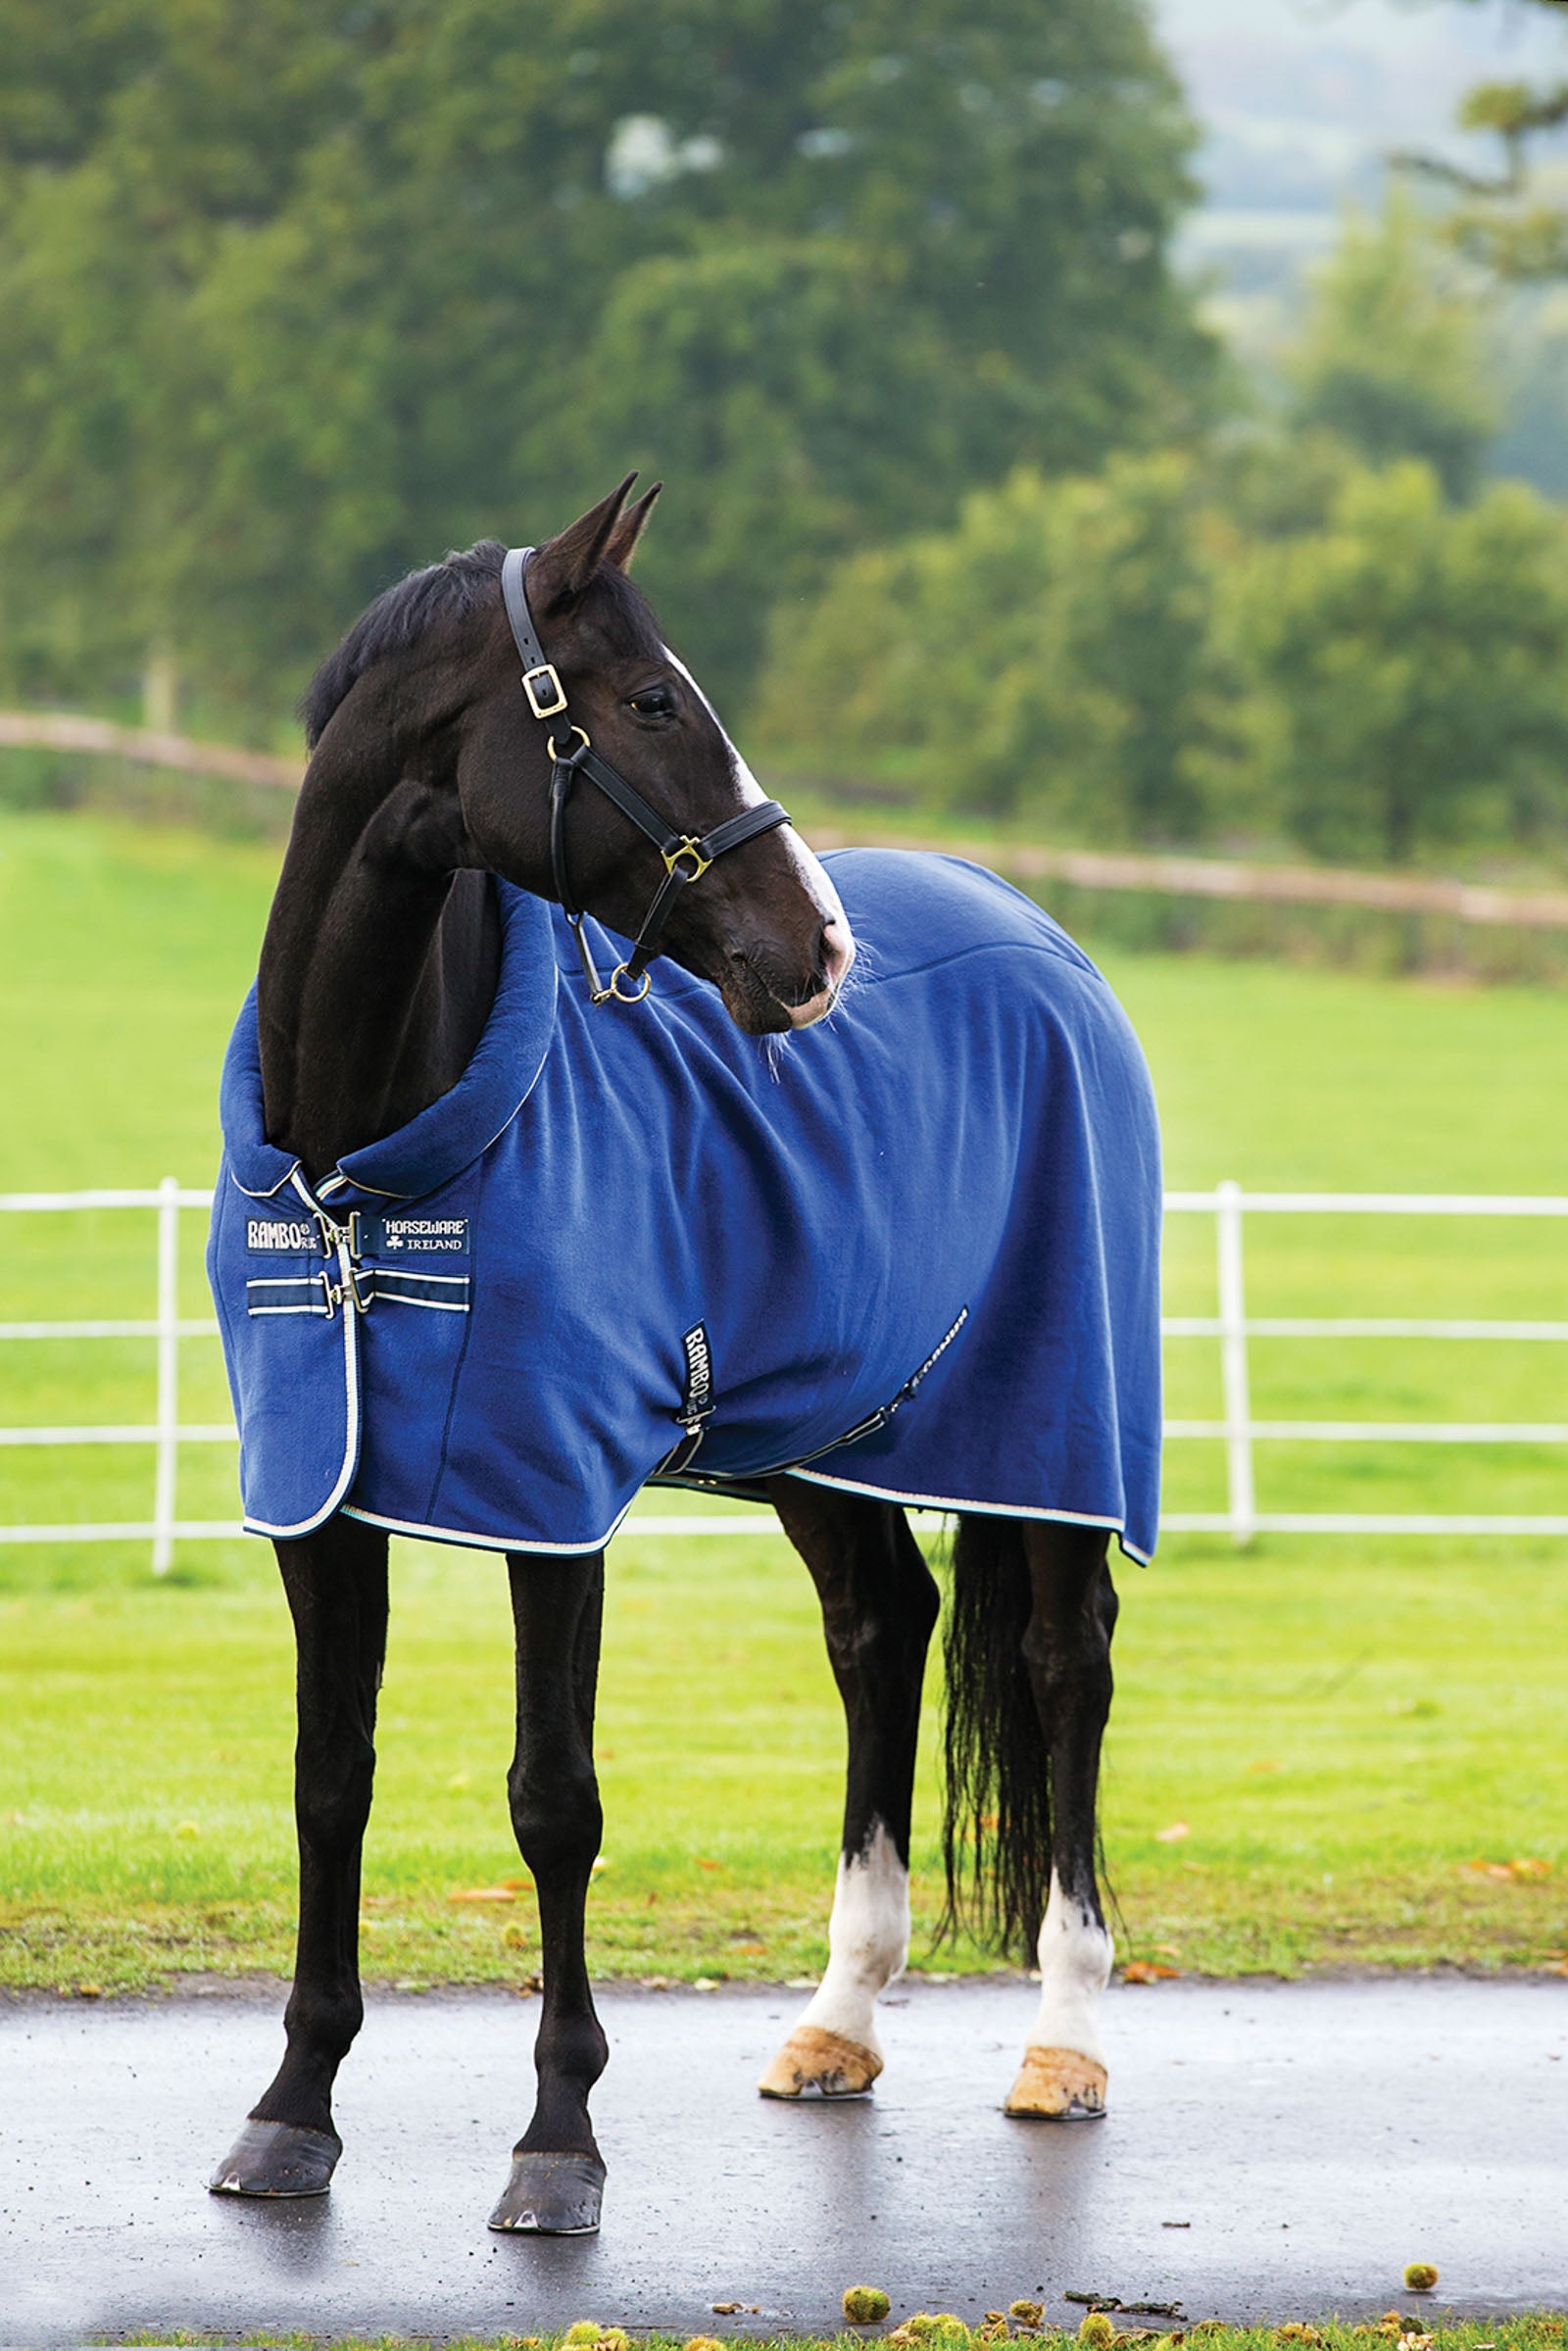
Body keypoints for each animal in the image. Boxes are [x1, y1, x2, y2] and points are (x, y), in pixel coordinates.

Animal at [204, 476, 1161, 2237]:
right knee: (881, 1629)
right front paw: (292, 2112)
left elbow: (554, 1797)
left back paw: (1065, 2037)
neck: (370, 1159)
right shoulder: (323, 1502)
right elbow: (328, 1776)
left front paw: (557, 2142)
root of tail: (1044, 938)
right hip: (831, 1438)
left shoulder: (551, 1503)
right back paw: (839, 2017)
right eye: (651, 701)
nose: (822, 947)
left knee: (1068, 1669)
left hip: (1058, 1439)